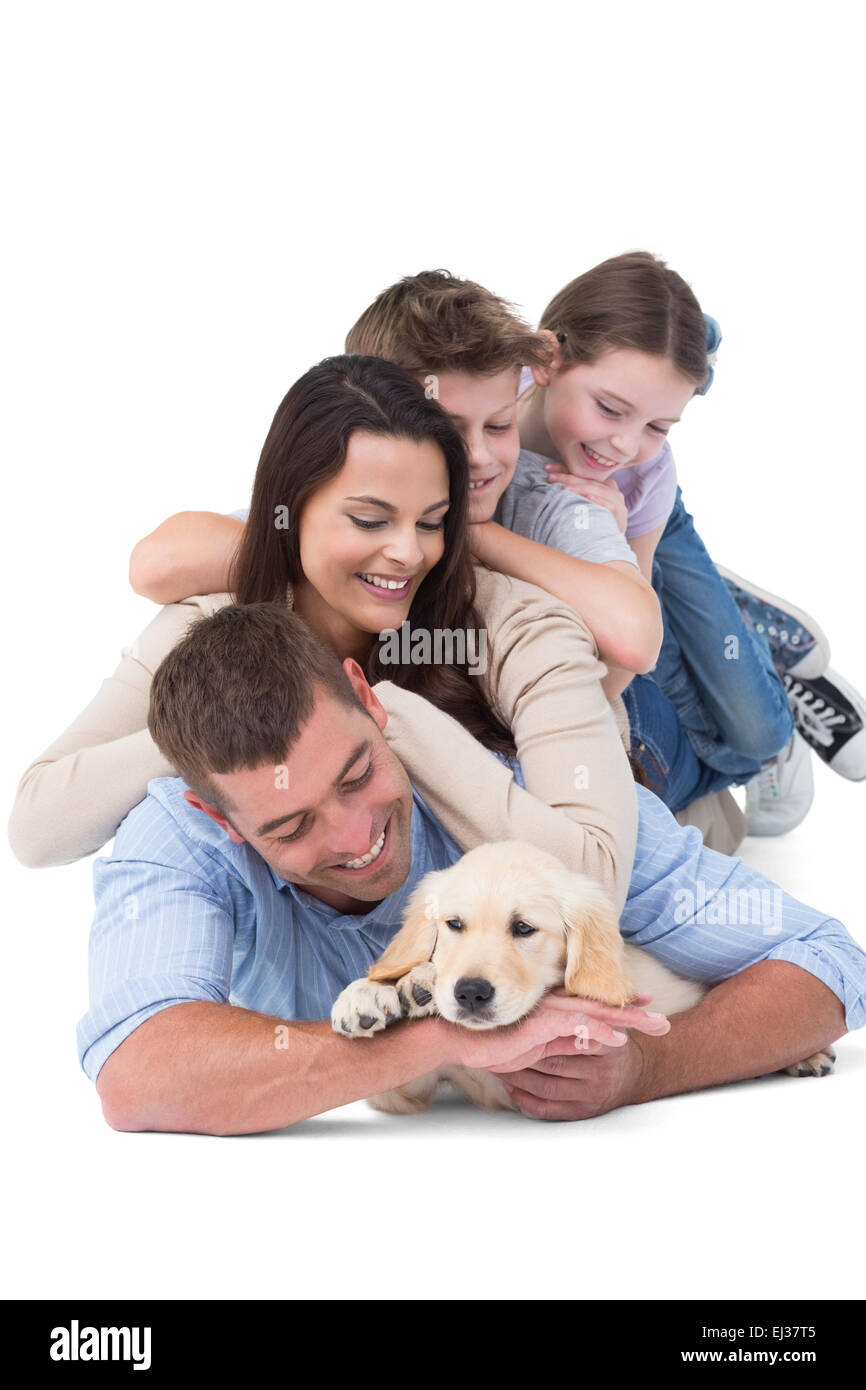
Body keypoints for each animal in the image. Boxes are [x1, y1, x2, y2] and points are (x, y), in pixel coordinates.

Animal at [330, 834, 834, 1117]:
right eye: (454, 924)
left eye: (524, 928)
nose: (471, 993)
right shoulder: (409, 1091)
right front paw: (377, 993)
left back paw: (809, 1055)